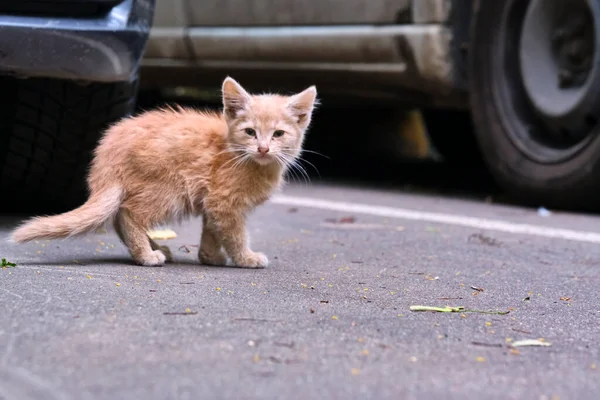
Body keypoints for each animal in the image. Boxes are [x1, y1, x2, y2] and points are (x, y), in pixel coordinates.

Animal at [9, 76, 318, 268]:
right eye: (250, 132)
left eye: (278, 134)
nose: (264, 148)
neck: (239, 155)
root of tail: (107, 155)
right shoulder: (224, 201)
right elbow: (234, 233)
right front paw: (245, 258)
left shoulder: (212, 201)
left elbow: (212, 229)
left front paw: (209, 255)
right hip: (170, 189)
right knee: (127, 214)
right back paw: (146, 255)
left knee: (119, 217)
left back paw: (154, 249)